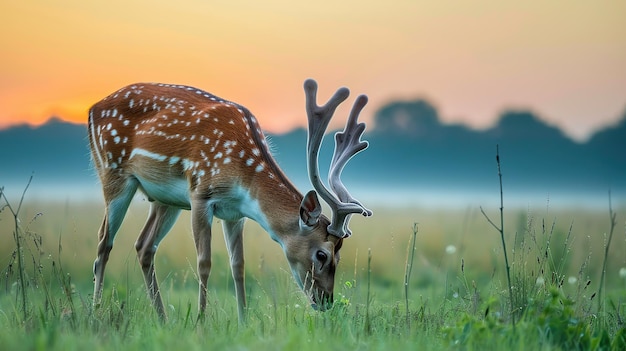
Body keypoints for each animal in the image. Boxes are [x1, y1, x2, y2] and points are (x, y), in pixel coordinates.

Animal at [88, 78, 370, 324]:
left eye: (340, 257)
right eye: (322, 254)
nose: (326, 301)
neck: (244, 177)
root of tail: (93, 108)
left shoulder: (235, 213)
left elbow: (238, 265)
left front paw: (243, 322)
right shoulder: (201, 194)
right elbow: (205, 262)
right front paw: (201, 322)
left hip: (165, 200)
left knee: (144, 245)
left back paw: (163, 319)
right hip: (113, 172)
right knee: (104, 242)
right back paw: (97, 311)